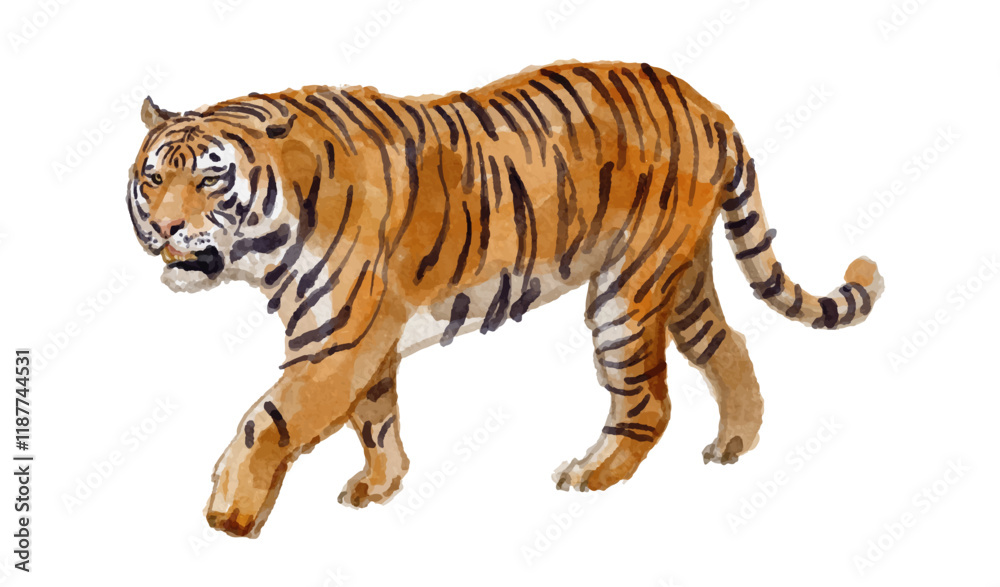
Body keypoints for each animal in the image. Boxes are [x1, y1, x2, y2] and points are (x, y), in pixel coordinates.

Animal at [127, 60, 883, 538]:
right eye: (153, 177)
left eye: (210, 179)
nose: (165, 228)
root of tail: (709, 105)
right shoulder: (360, 341)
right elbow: (376, 418)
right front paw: (379, 487)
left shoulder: (337, 338)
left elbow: (267, 419)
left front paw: (228, 516)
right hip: (683, 273)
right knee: (726, 345)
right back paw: (732, 445)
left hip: (625, 288)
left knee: (648, 399)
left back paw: (591, 474)